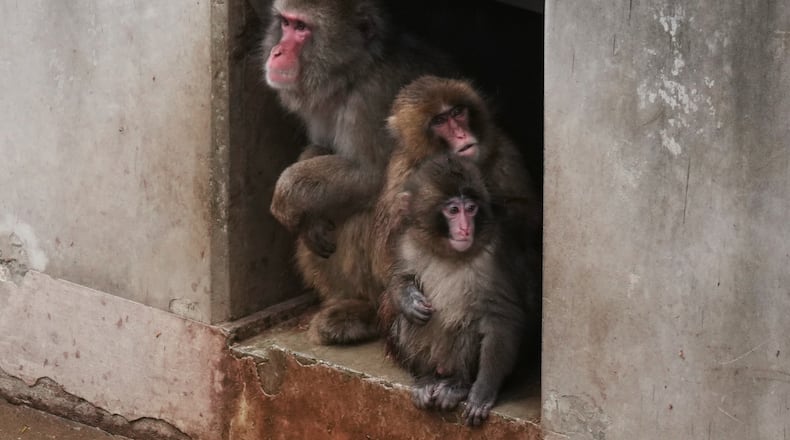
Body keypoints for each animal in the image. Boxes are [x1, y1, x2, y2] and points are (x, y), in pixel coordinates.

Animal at [261, 0, 452, 344]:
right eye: (285, 23)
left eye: (301, 28)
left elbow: (374, 176)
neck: (354, 75)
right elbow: (320, 148)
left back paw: (370, 314)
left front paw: (286, 194)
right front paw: (310, 220)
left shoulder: (375, 99)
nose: (277, 51)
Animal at [380, 153, 528, 426]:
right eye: (453, 210)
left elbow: (502, 317)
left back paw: (457, 385)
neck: (447, 252)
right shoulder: (408, 242)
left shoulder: (493, 256)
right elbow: (397, 279)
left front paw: (483, 390)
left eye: (471, 209)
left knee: (468, 324)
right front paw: (407, 299)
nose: (465, 228)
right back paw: (426, 378)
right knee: (409, 322)